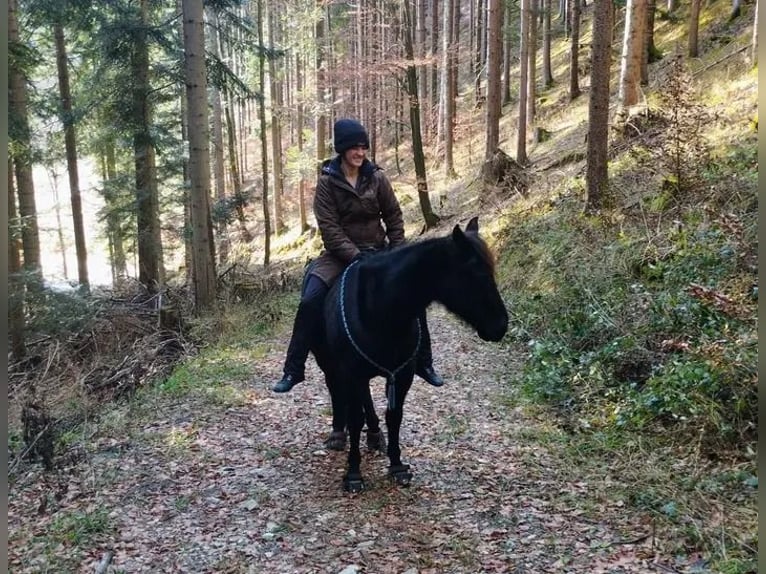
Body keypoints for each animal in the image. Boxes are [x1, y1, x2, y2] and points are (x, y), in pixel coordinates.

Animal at [310, 216, 509, 492]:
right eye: (474, 274)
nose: (500, 326)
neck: (378, 311)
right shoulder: (352, 373)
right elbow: (355, 418)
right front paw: (353, 473)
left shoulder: (402, 376)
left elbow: (394, 417)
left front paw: (396, 465)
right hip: (332, 367)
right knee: (338, 393)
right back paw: (338, 434)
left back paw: (375, 435)